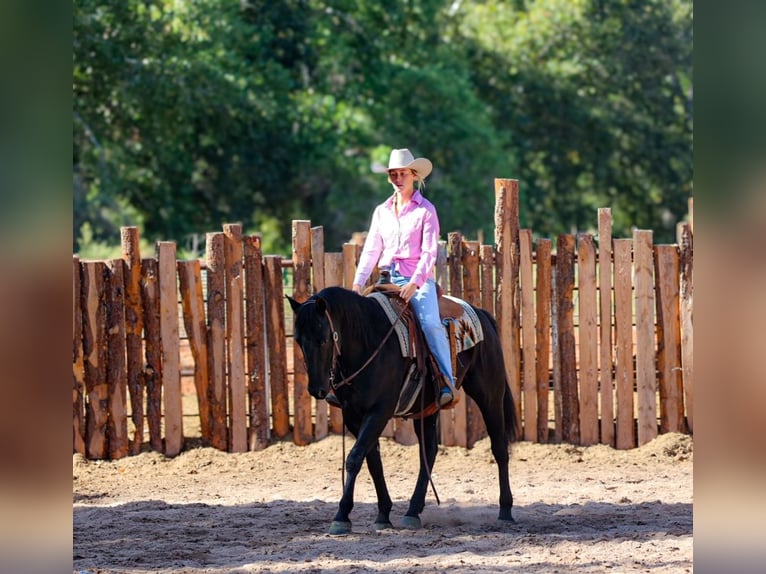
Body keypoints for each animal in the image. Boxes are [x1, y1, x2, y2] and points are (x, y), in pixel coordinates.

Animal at [290, 288, 520, 536]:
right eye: (298, 341)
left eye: (323, 339)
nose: (317, 389)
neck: (369, 341)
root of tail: (482, 314)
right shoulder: (353, 415)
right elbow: (372, 461)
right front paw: (383, 514)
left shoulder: (380, 411)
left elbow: (354, 458)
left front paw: (341, 516)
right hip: (427, 408)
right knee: (428, 451)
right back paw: (413, 511)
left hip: (489, 394)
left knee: (499, 448)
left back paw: (505, 510)